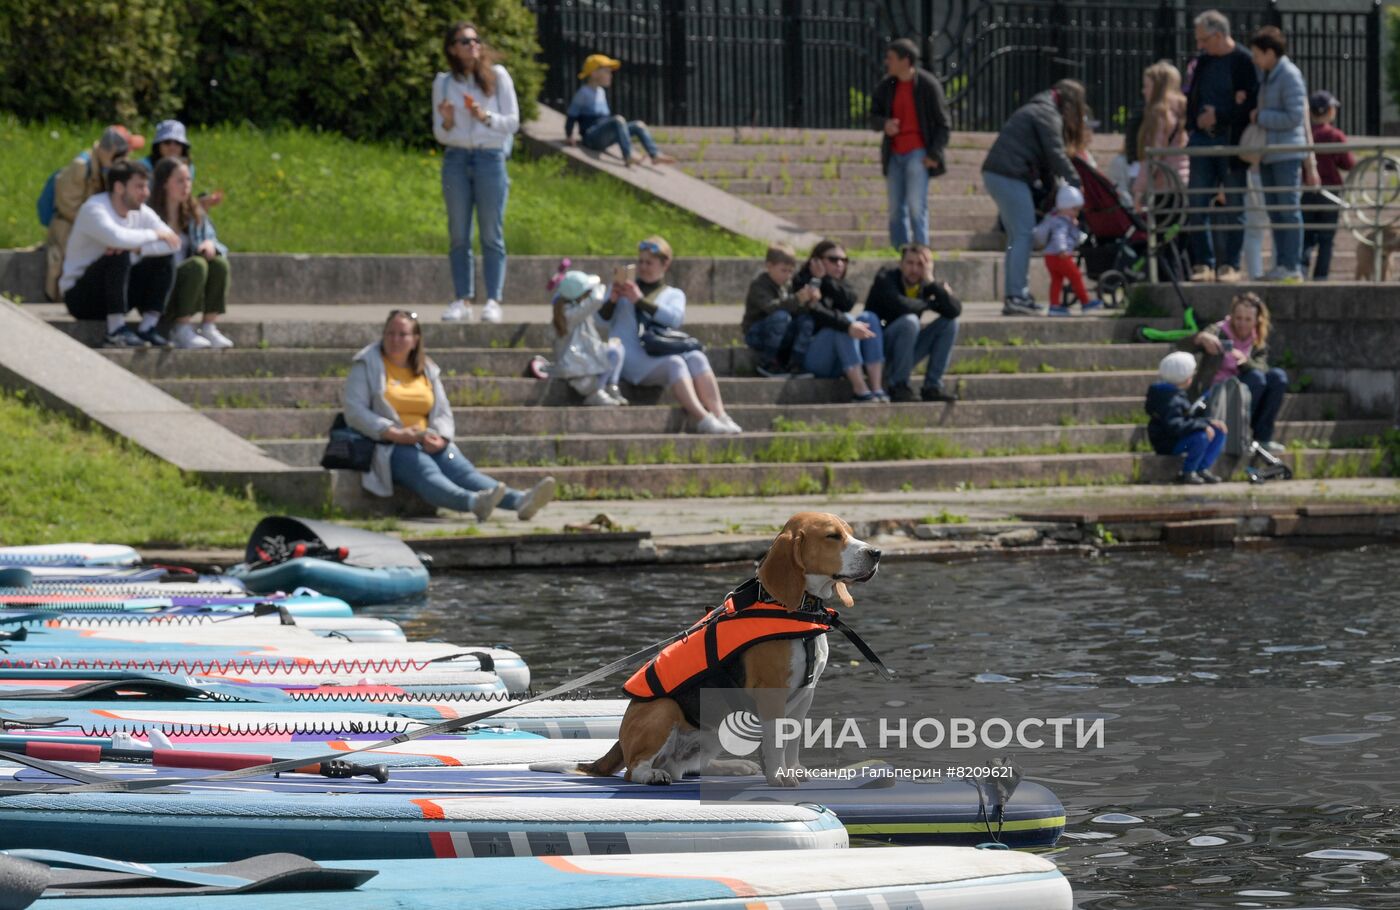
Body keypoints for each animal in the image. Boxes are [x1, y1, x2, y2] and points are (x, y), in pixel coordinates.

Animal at [576, 509, 879, 784]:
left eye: (850, 532)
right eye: (832, 536)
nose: (876, 553)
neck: (798, 610)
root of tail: (620, 742)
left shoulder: (806, 695)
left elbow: (792, 740)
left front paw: (794, 770)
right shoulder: (773, 693)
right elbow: (775, 741)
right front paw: (779, 776)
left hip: (715, 729)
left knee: (685, 767)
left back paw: (733, 767)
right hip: (663, 710)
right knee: (635, 769)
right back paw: (652, 774)